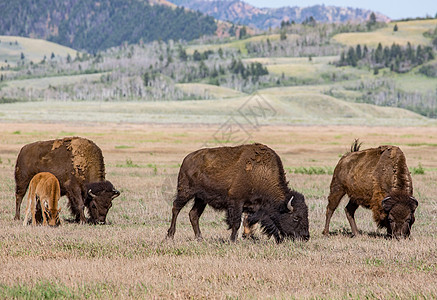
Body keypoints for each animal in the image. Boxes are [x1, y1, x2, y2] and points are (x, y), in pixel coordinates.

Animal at [165, 142, 308, 243]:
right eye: (296, 217)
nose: (306, 237)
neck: (261, 174)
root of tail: (187, 159)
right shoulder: (236, 202)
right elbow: (236, 222)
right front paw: (233, 240)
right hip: (185, 192)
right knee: (176, 208)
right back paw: (170, 236)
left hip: (201, 199)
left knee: (193, 214)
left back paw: (200, 238)